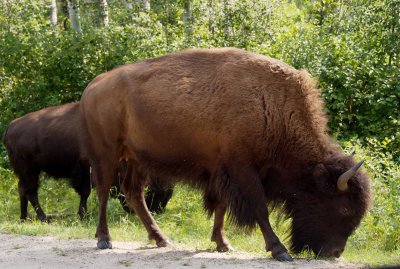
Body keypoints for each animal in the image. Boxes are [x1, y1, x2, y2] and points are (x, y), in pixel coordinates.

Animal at [3, 101, 173, 221]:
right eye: (152, 190)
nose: (157, 210)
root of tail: (11, 126)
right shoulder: (84, 170)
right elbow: (85, 192)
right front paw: (83, 215)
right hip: (29, 170)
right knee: (30, 192)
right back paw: (43, 217)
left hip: (28, 172)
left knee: (23, 190)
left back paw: (25, 217)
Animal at [79, 47, 372, 260]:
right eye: (345, 207)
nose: (334, 253)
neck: (270, 107)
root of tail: (92, 87)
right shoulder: (242, 169)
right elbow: (259, 208)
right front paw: (279, 251)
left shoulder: (221, 170)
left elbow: (220, 206)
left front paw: (223, 244)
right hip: (107, 154)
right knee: (103, 191)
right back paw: (104, 240)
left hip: (137, 159)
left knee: (133, 193)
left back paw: (161, 239)